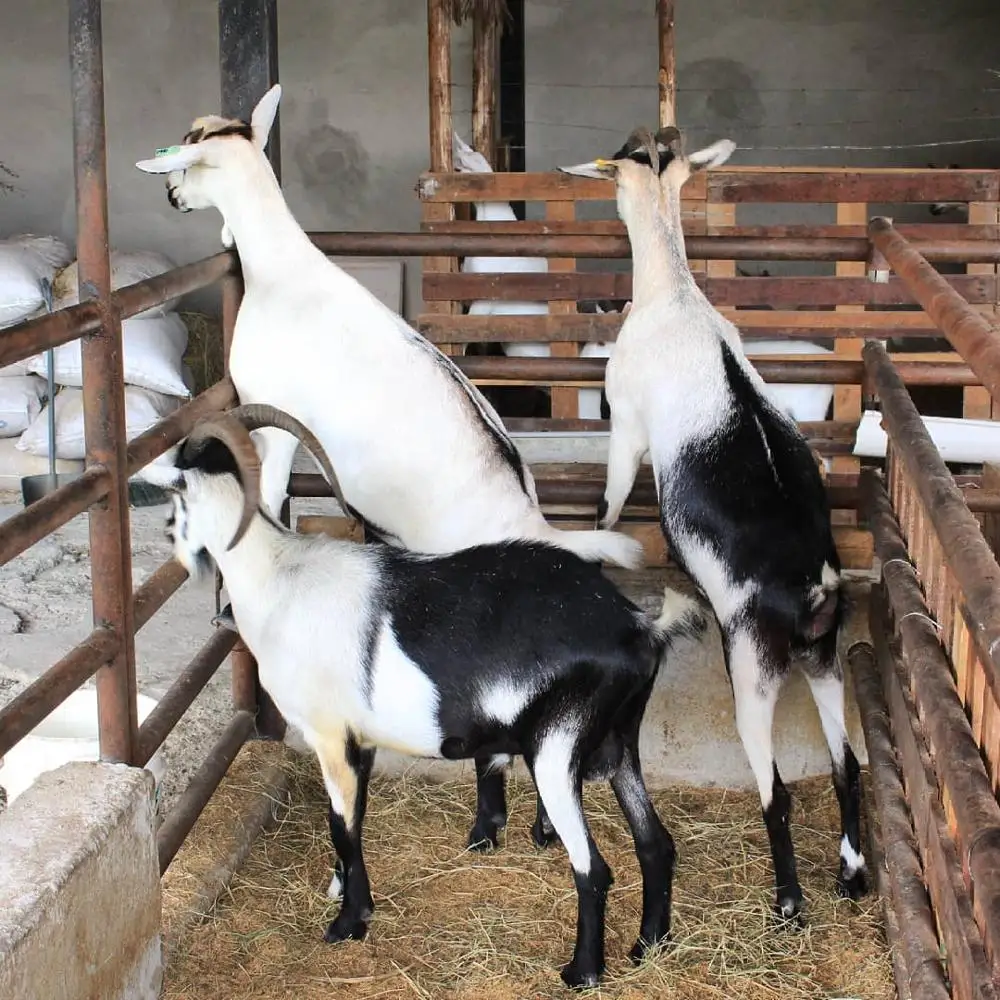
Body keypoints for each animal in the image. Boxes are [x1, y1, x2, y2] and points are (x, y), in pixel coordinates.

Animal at [135, 86, 645, 858]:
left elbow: (269, 492)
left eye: (187, 155)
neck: (283, 273)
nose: (168, 195)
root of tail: (533, 519)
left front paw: (233, 597)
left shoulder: (274, 418)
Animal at [162, 402, 707, 990]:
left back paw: (582, 972)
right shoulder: (360, 738)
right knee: (655, 844)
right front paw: (343, 893)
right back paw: (648, 946)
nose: (171, 537)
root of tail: (640, 627)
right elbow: (356, 816)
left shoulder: (329, 734)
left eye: (175, 493)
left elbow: (341, 824)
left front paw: (349, 923)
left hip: (557, 746)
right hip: (620, 742)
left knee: (594, 868)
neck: (278, 576)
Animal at [560, 127, 869, 923]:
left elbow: (611, 499)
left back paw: (789, 900)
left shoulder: (626, 426)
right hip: (822, 660)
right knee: (846, 763)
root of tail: (811, 591)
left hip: (753, 665)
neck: (676, 296)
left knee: (778, 790)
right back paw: (852, 873)